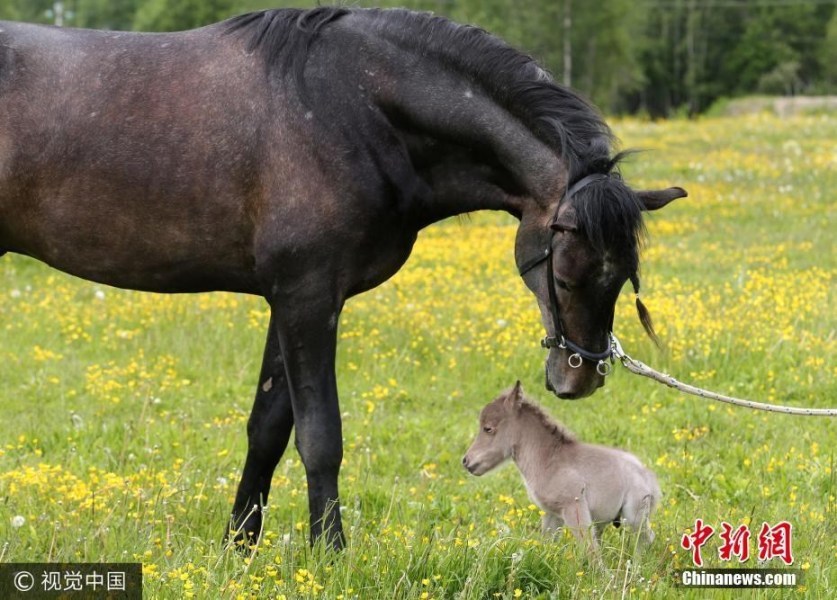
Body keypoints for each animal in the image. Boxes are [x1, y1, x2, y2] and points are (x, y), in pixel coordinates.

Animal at [460, 382, 656, 556]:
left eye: (488, 428)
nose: (466, 461)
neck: (549, 460)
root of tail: (649, 479)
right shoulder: (551, 514)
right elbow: (547, 545)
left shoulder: (574, 508)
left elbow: (590, 550)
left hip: (633, 516)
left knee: (645, 539)